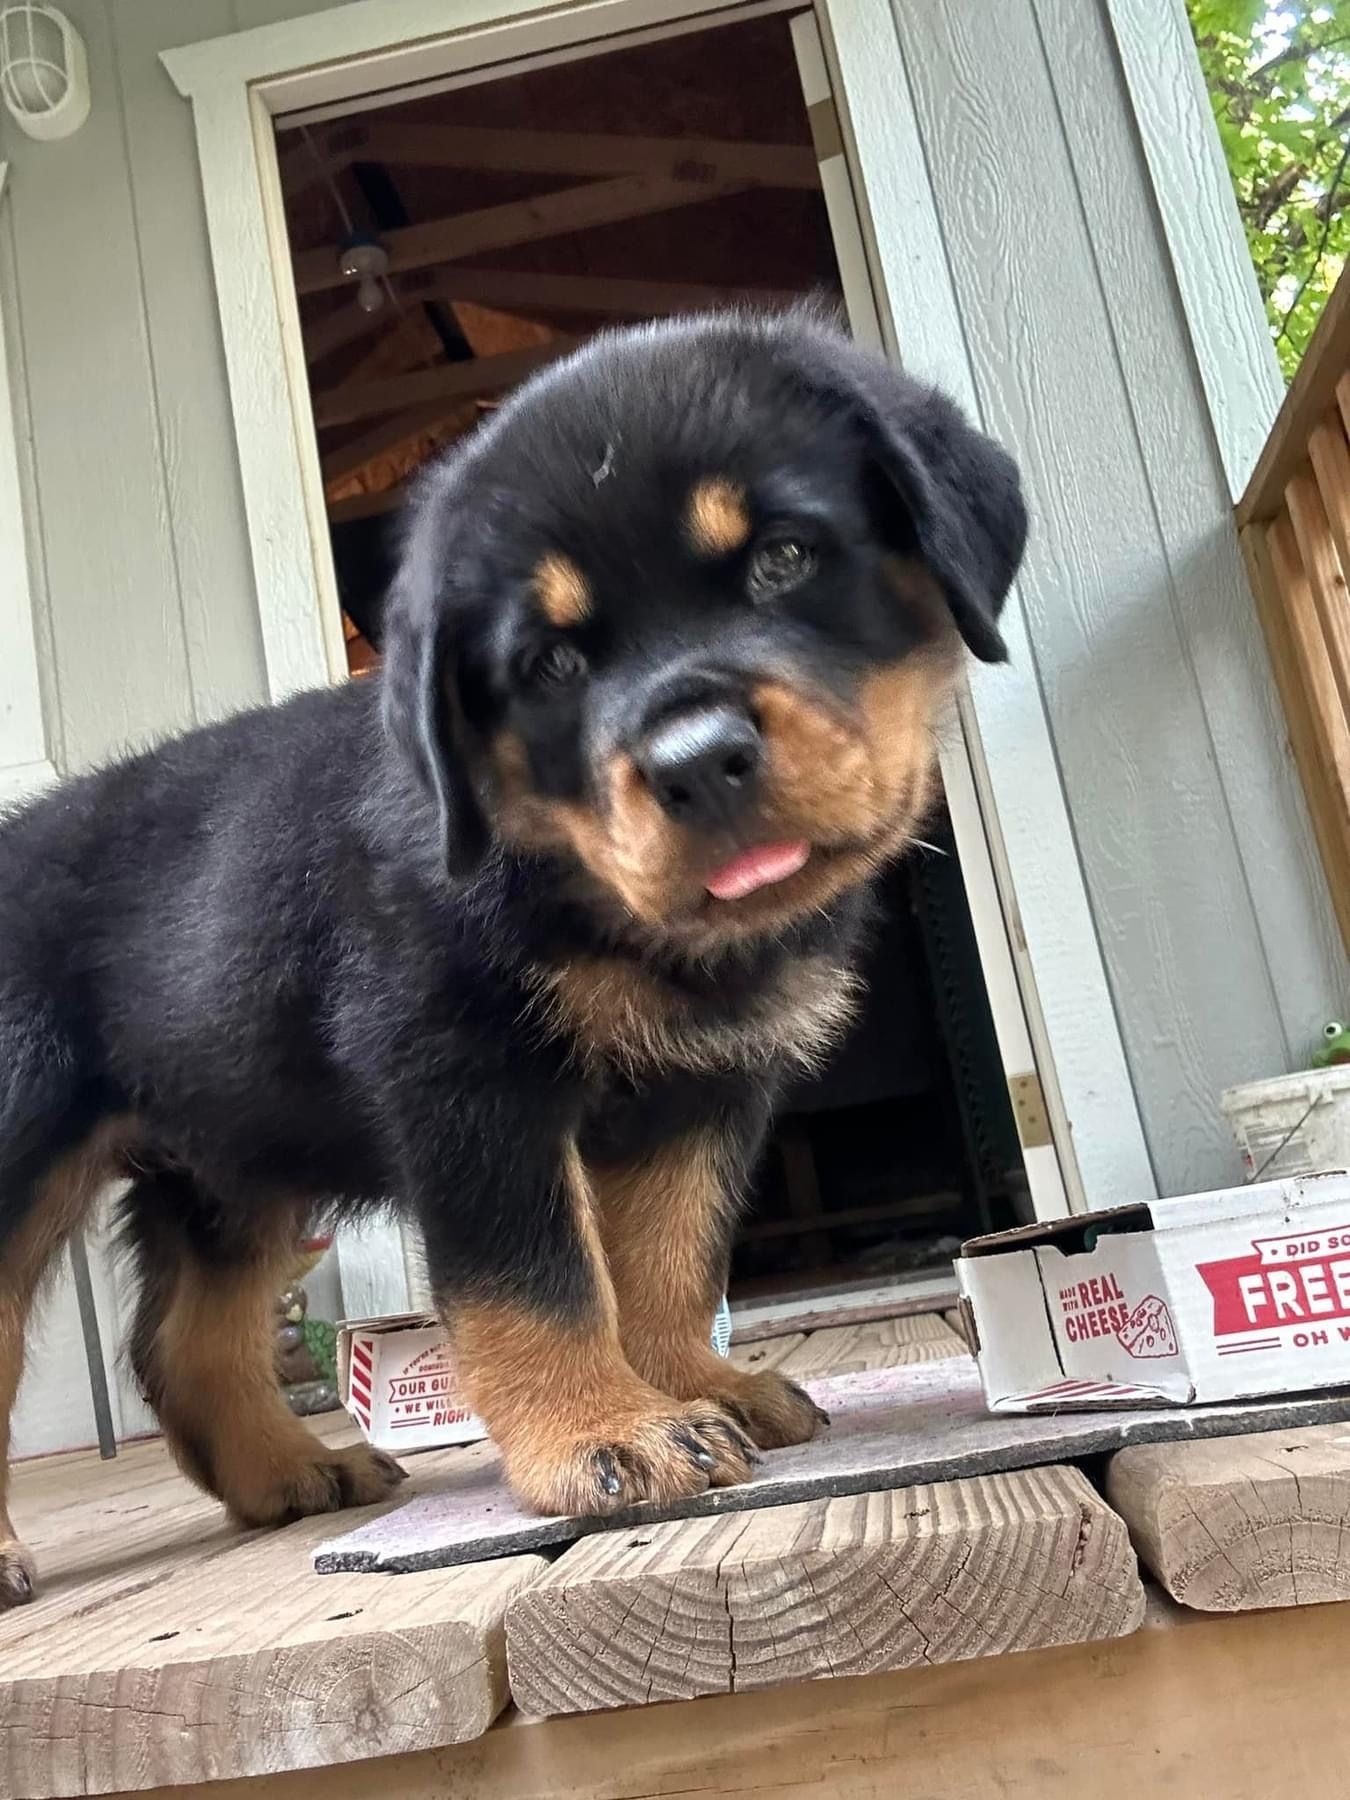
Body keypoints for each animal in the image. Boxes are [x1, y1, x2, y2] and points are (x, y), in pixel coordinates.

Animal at [0, 309, 1022, 1605]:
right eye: (549, 665)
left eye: (784, 559)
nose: (696, 763)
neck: (569, 876)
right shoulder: (466, 1076)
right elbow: (536, 1278)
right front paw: (601, 1435)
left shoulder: (701, 1088)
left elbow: (669, 1258)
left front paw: (691, 1386)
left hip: (231, 1159)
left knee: (181, 1341)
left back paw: (289, 1471)